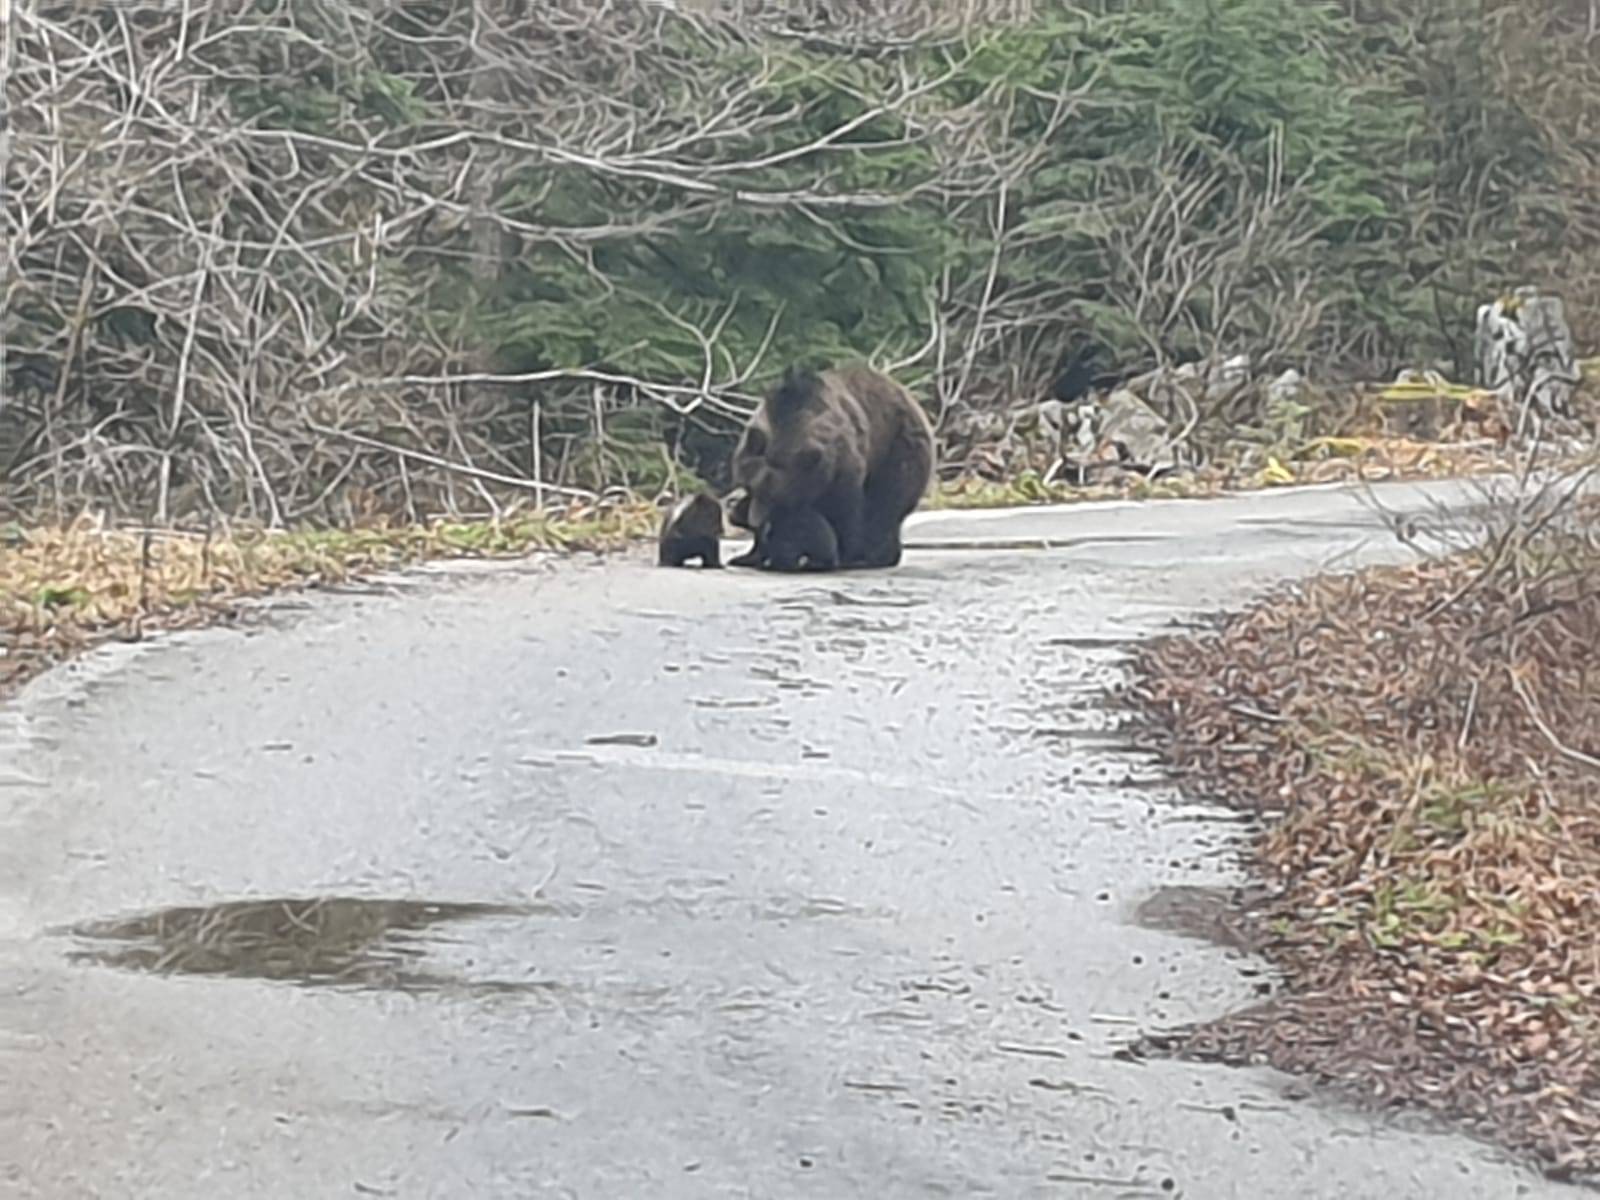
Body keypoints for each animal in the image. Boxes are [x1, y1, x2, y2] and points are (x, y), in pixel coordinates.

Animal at [729, 364, 934, 569]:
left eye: (774, 497)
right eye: (752, 487)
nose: (755, 521)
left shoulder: (840, 464)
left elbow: (845, 509)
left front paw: (844, 553)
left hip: (898, 447)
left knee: (886, 501)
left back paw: (874, 555)